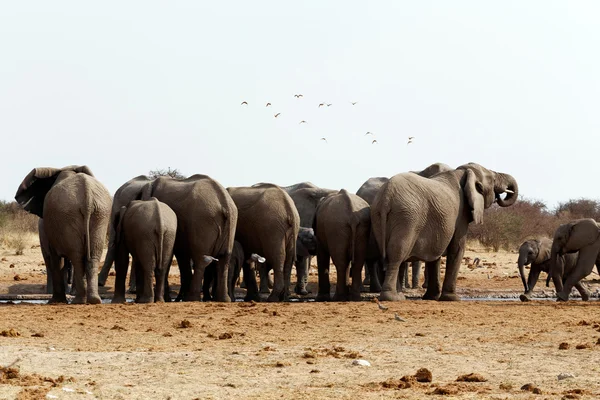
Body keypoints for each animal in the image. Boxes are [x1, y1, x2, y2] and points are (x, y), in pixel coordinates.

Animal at [14, 166, 111, 304]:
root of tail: (87, 197)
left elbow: (55, 258)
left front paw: (55, 301)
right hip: (98, 214)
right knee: (91, 256)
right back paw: (92, 300)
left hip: (81, 214)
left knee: (77, 257)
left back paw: (80, 300)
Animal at [370, 162, 516, 300]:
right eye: (493, 178)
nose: (499, 196)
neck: (464, 172)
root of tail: (386, 197)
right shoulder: (460, 216)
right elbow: (457, 249)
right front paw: (452, 298)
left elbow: (435, 254)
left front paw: (431, 297)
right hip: (407, 217)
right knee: (397, 254)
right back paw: (393, 297)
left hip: (377, 216)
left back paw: (398, 295)